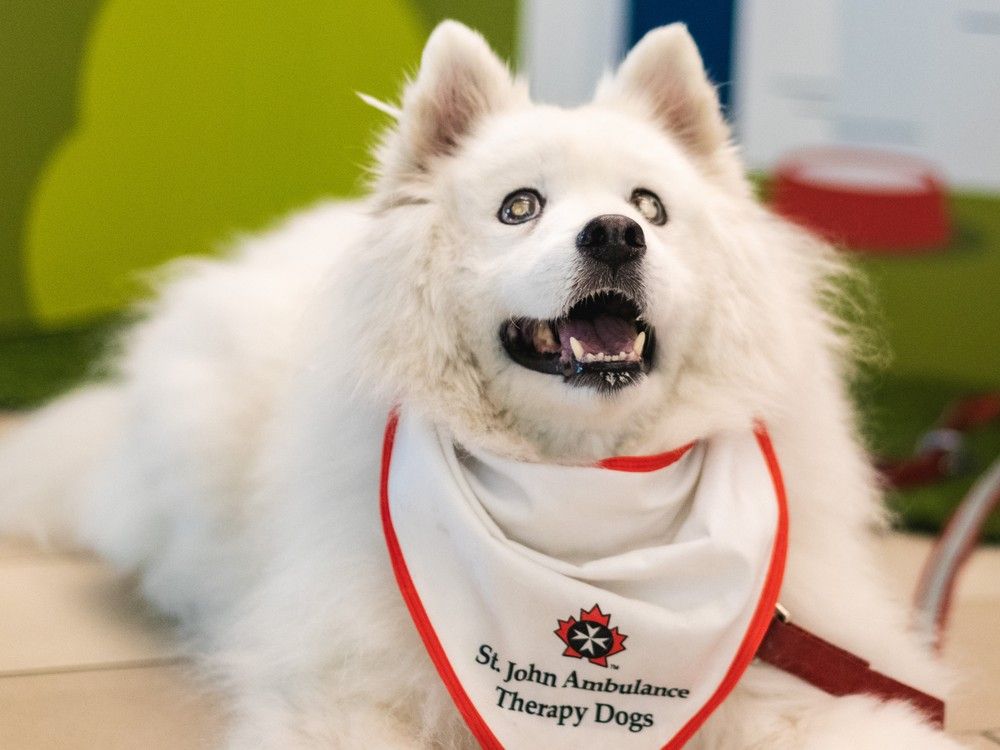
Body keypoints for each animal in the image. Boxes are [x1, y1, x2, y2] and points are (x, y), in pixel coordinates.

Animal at [3, 20, 964, 748]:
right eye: (520, 207)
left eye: (650, 207)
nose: (614, 234)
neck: (583, 500)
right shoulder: (346, 692)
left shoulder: (807, 680)